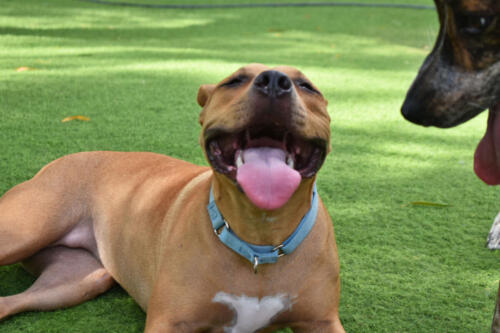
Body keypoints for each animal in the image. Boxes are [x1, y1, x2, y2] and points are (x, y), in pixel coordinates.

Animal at [0, 63, 346, 330]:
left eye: (308, 87)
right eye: (234, 81)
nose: (274, 80)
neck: (259, 241)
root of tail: (57, 162)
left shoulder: (323, 322)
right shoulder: (168, 321)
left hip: (79, 280)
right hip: (24, 232)